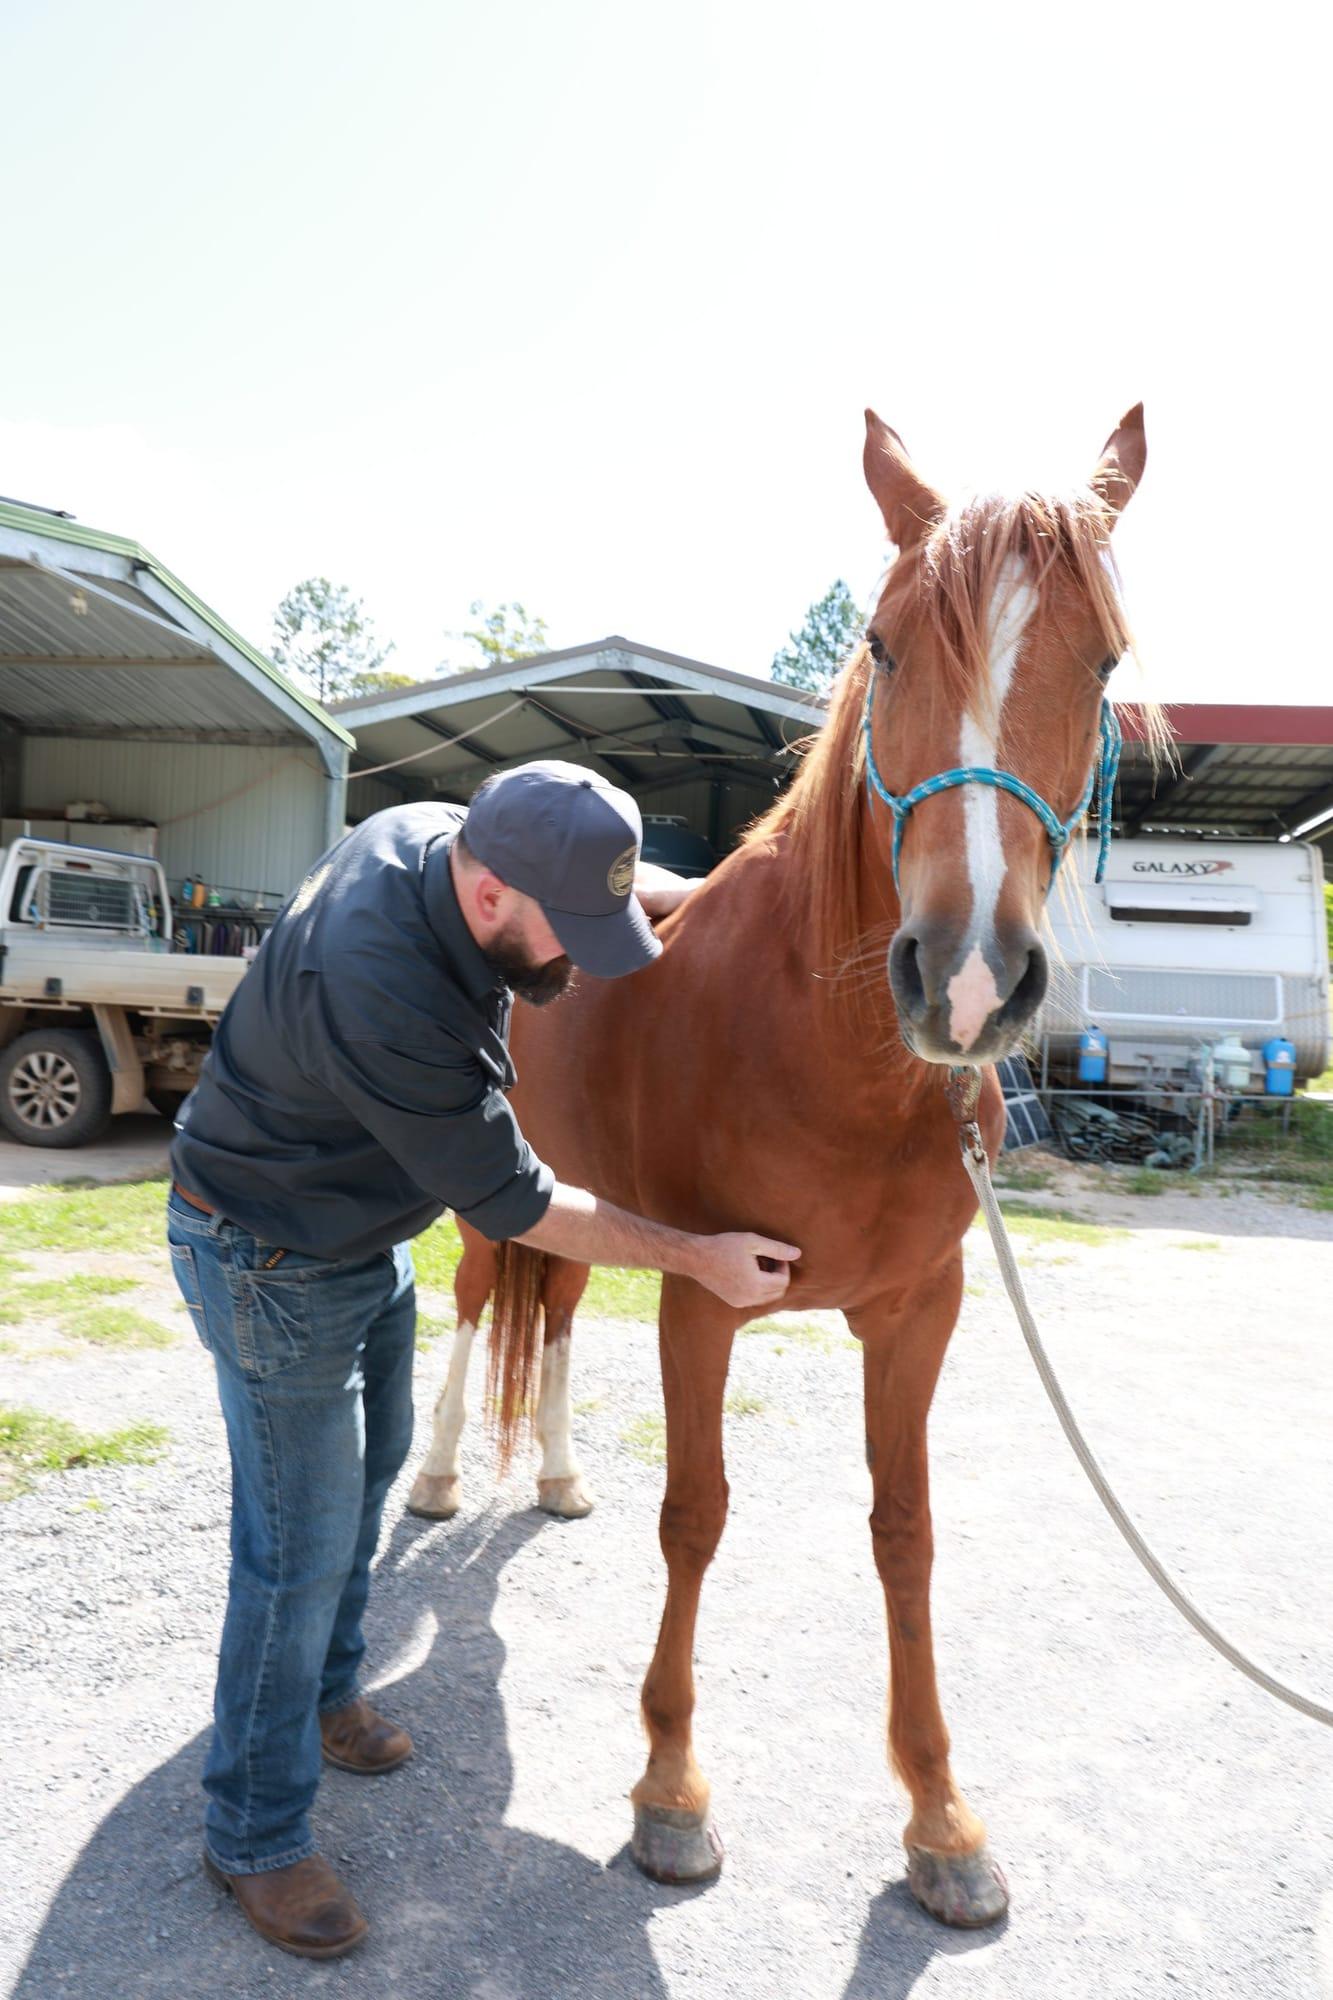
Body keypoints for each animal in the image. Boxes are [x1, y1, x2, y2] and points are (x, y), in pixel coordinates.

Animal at [407, 405, 1152, 1925]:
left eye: (1103, 660)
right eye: (884, 642)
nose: (967, 979)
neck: (827, 1052)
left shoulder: (918, 1312)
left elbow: (906, 1531)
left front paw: (940, 1818)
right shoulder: (705, 1296)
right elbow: (695, 1516)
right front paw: (669, 1793)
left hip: (578, 1207)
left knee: (552, 1317)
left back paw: (558, 1473)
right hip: (490, 1198)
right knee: (468, 1309)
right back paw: (443, 1473)